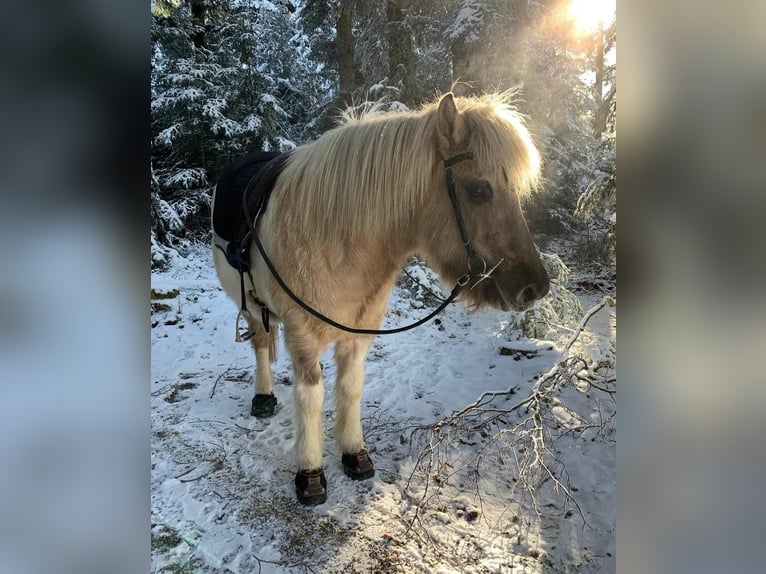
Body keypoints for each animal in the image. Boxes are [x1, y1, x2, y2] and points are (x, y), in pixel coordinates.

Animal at [213, 92, 548, 506]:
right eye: (479, 190)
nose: (536, 287)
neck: (336, 241)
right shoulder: (302, 334)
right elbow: (311, 397)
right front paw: (310, 474)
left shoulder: (359, 334)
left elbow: (350, 388)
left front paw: (354, 453)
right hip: (250, 305)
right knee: (260, 343)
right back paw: (262, 397)